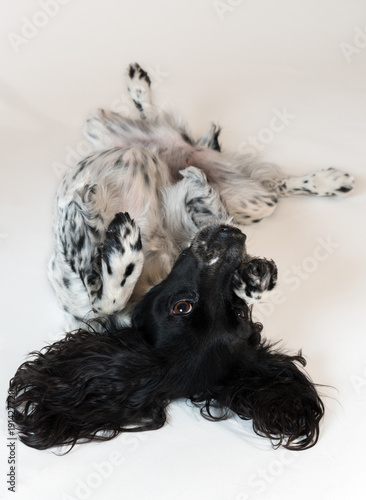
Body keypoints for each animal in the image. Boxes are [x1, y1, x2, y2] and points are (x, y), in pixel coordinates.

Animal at [6, 62, 354, 454]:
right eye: (183, 307)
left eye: (235, 313)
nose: (235, 241)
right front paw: (253, 275)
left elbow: (103, 294)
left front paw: (114, 241)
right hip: (109, 130)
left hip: (250, 200)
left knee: (271, 188)